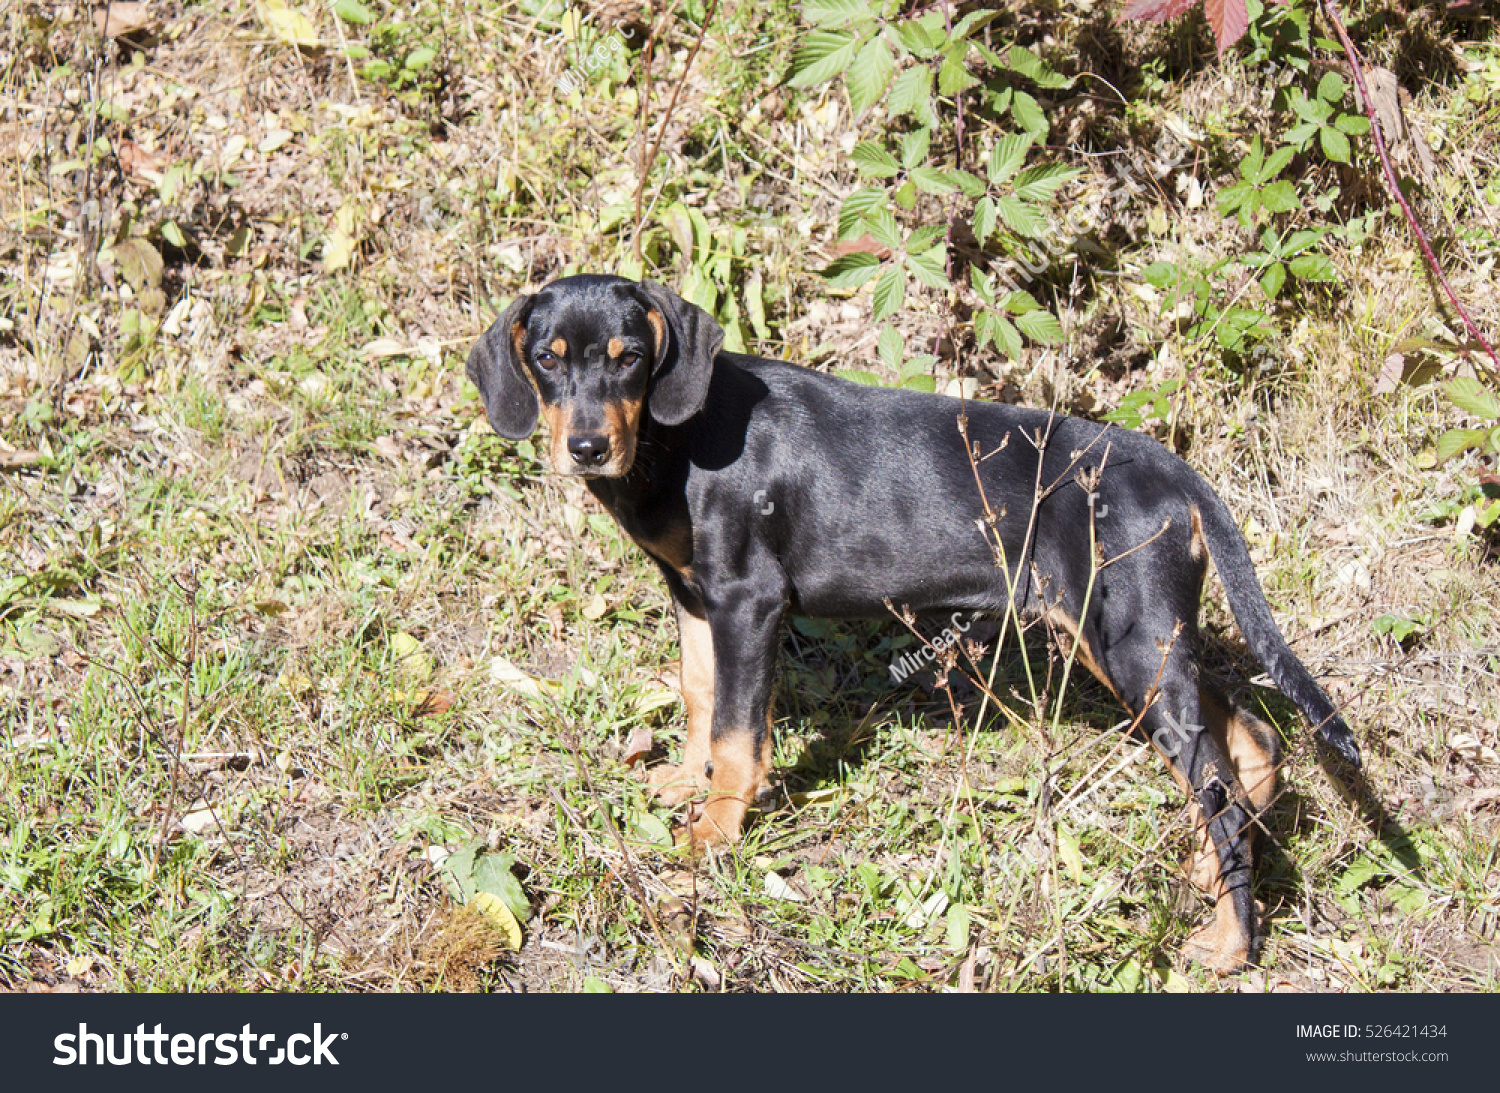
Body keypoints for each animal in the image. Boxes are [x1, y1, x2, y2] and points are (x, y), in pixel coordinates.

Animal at [468, 274, 1362, 971]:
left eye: (630, 357)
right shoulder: (694, 594)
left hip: (1127, 635)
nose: (587, 447)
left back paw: (1232, 944)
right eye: (547, 359)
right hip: (1147, 636)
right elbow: (697, 694)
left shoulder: (749, 600)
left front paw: (715, 831)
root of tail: (1177, 473)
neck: (676, 439)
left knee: (1218, 783)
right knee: (1250, 743)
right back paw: (1214, 880)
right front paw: (688, 781)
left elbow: (738, 729)